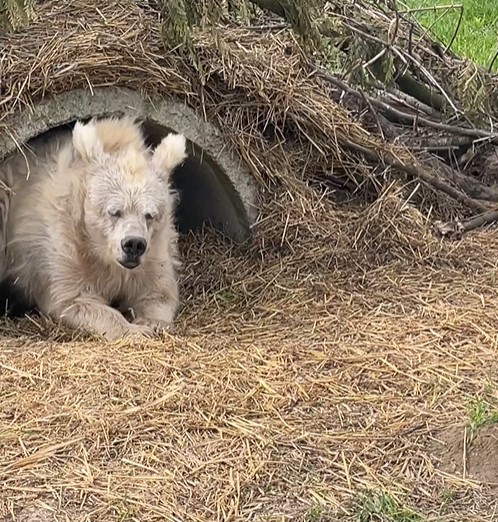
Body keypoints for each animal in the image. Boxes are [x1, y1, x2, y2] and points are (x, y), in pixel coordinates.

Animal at [0, 115, 187, 340]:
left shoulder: (155, 250)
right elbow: (75, 298)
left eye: (149, 215)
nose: (133, 244)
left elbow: (159, 291)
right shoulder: (64, 246)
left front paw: (151, 323)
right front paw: (136, 330)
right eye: (114, 211)